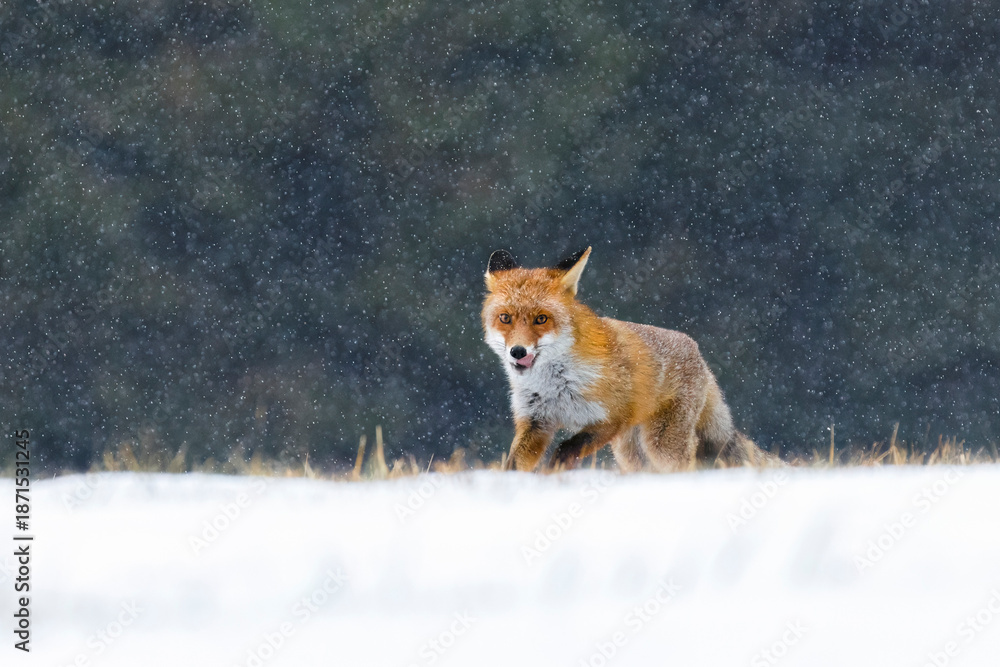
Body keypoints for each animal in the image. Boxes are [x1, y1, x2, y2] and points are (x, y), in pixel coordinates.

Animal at [482, 246, 775, 472]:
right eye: (505, 318)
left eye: (541, 319)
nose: (518, 351)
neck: (553, 384)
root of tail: (698, 353)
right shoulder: (536, 422)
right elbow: (514, 465)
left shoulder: (612, 417)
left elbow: (567, 448)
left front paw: (556, 469)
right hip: (629, 451)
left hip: (659, 443)